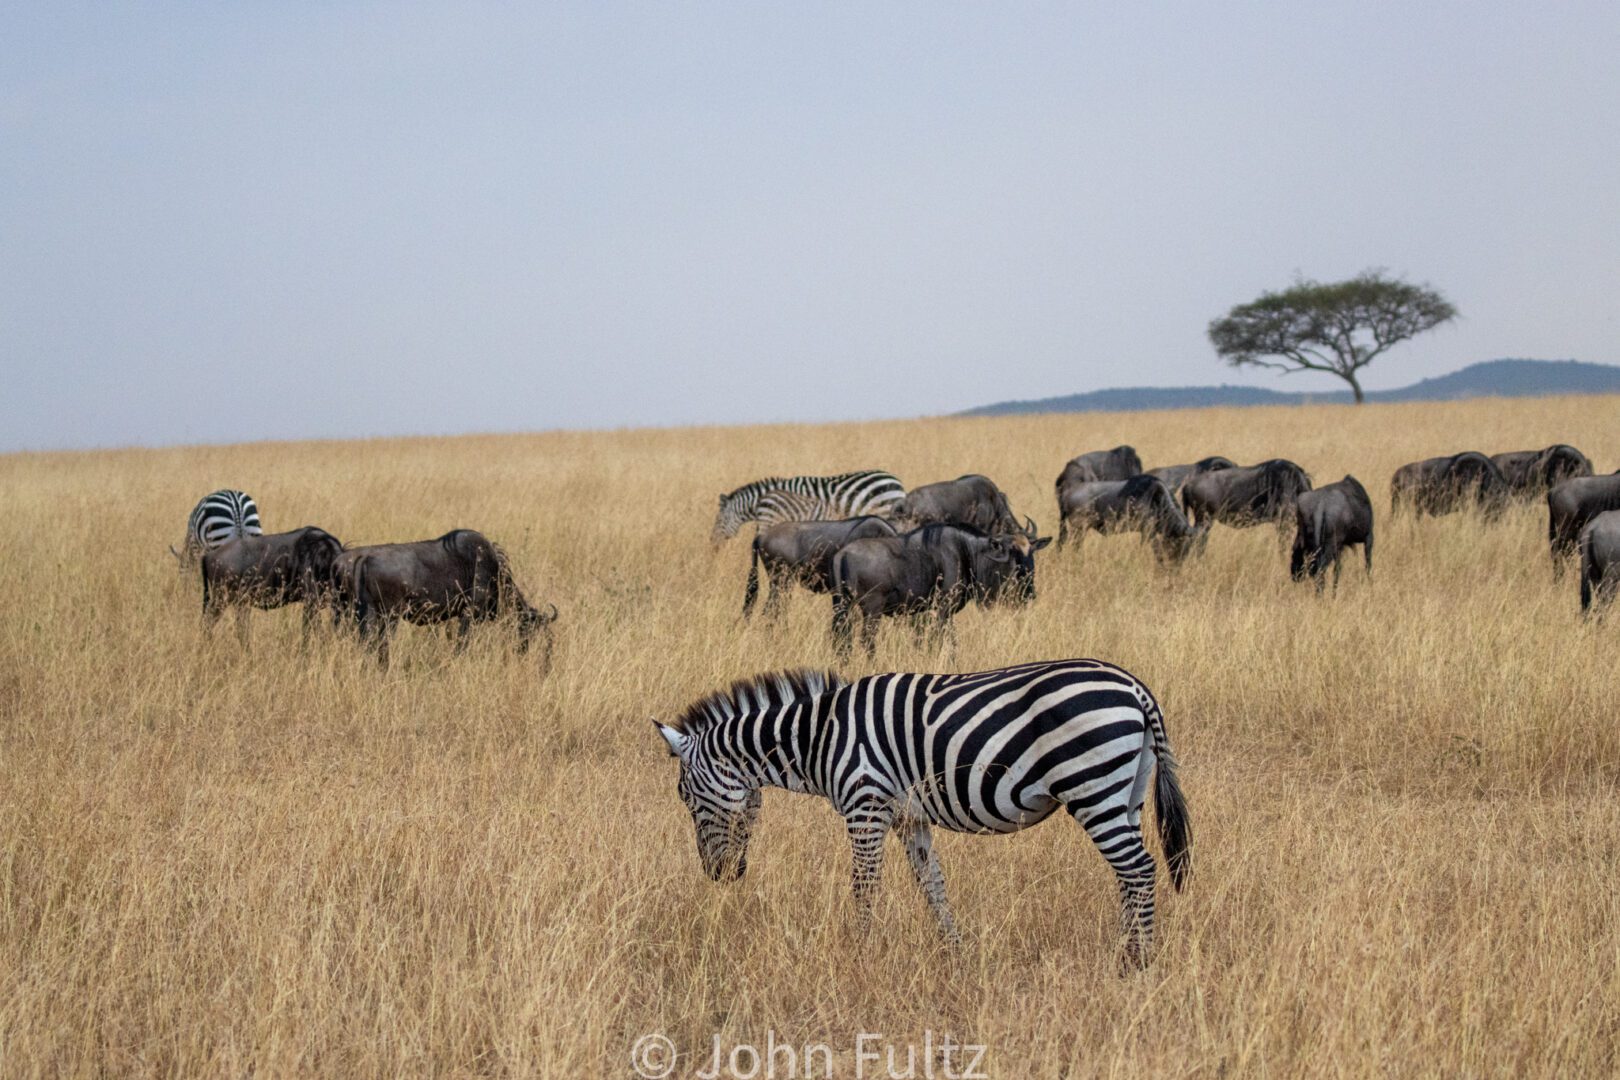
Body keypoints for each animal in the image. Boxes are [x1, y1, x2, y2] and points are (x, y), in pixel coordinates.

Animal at [651, 660, 1198, 971]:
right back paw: (1126, 952)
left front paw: (861, 954)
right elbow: (931, 883)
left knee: (1138, 868)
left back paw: (1138, 963)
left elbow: (865, 886)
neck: (819, 737)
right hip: (1125, 791)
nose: (719, 876)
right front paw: (955, 954)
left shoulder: (865, 805)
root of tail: (1136, 688)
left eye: (687, 799)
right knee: (1129, 874)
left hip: (1093, 785)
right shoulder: (907, 818)